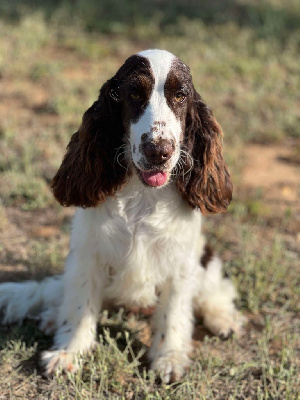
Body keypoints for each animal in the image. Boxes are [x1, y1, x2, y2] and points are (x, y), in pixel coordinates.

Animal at [0, 50, 243, 384]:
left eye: (180, 96)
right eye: (133, 94)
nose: (158, 151)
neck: (142, 195)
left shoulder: (180, 263)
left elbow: (174, 313)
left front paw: (169, 358)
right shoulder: (87, 257)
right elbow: (79, 308)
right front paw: (68, 353)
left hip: (205, 257)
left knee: (214, 289)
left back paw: (224, 319)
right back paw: (51, 318)